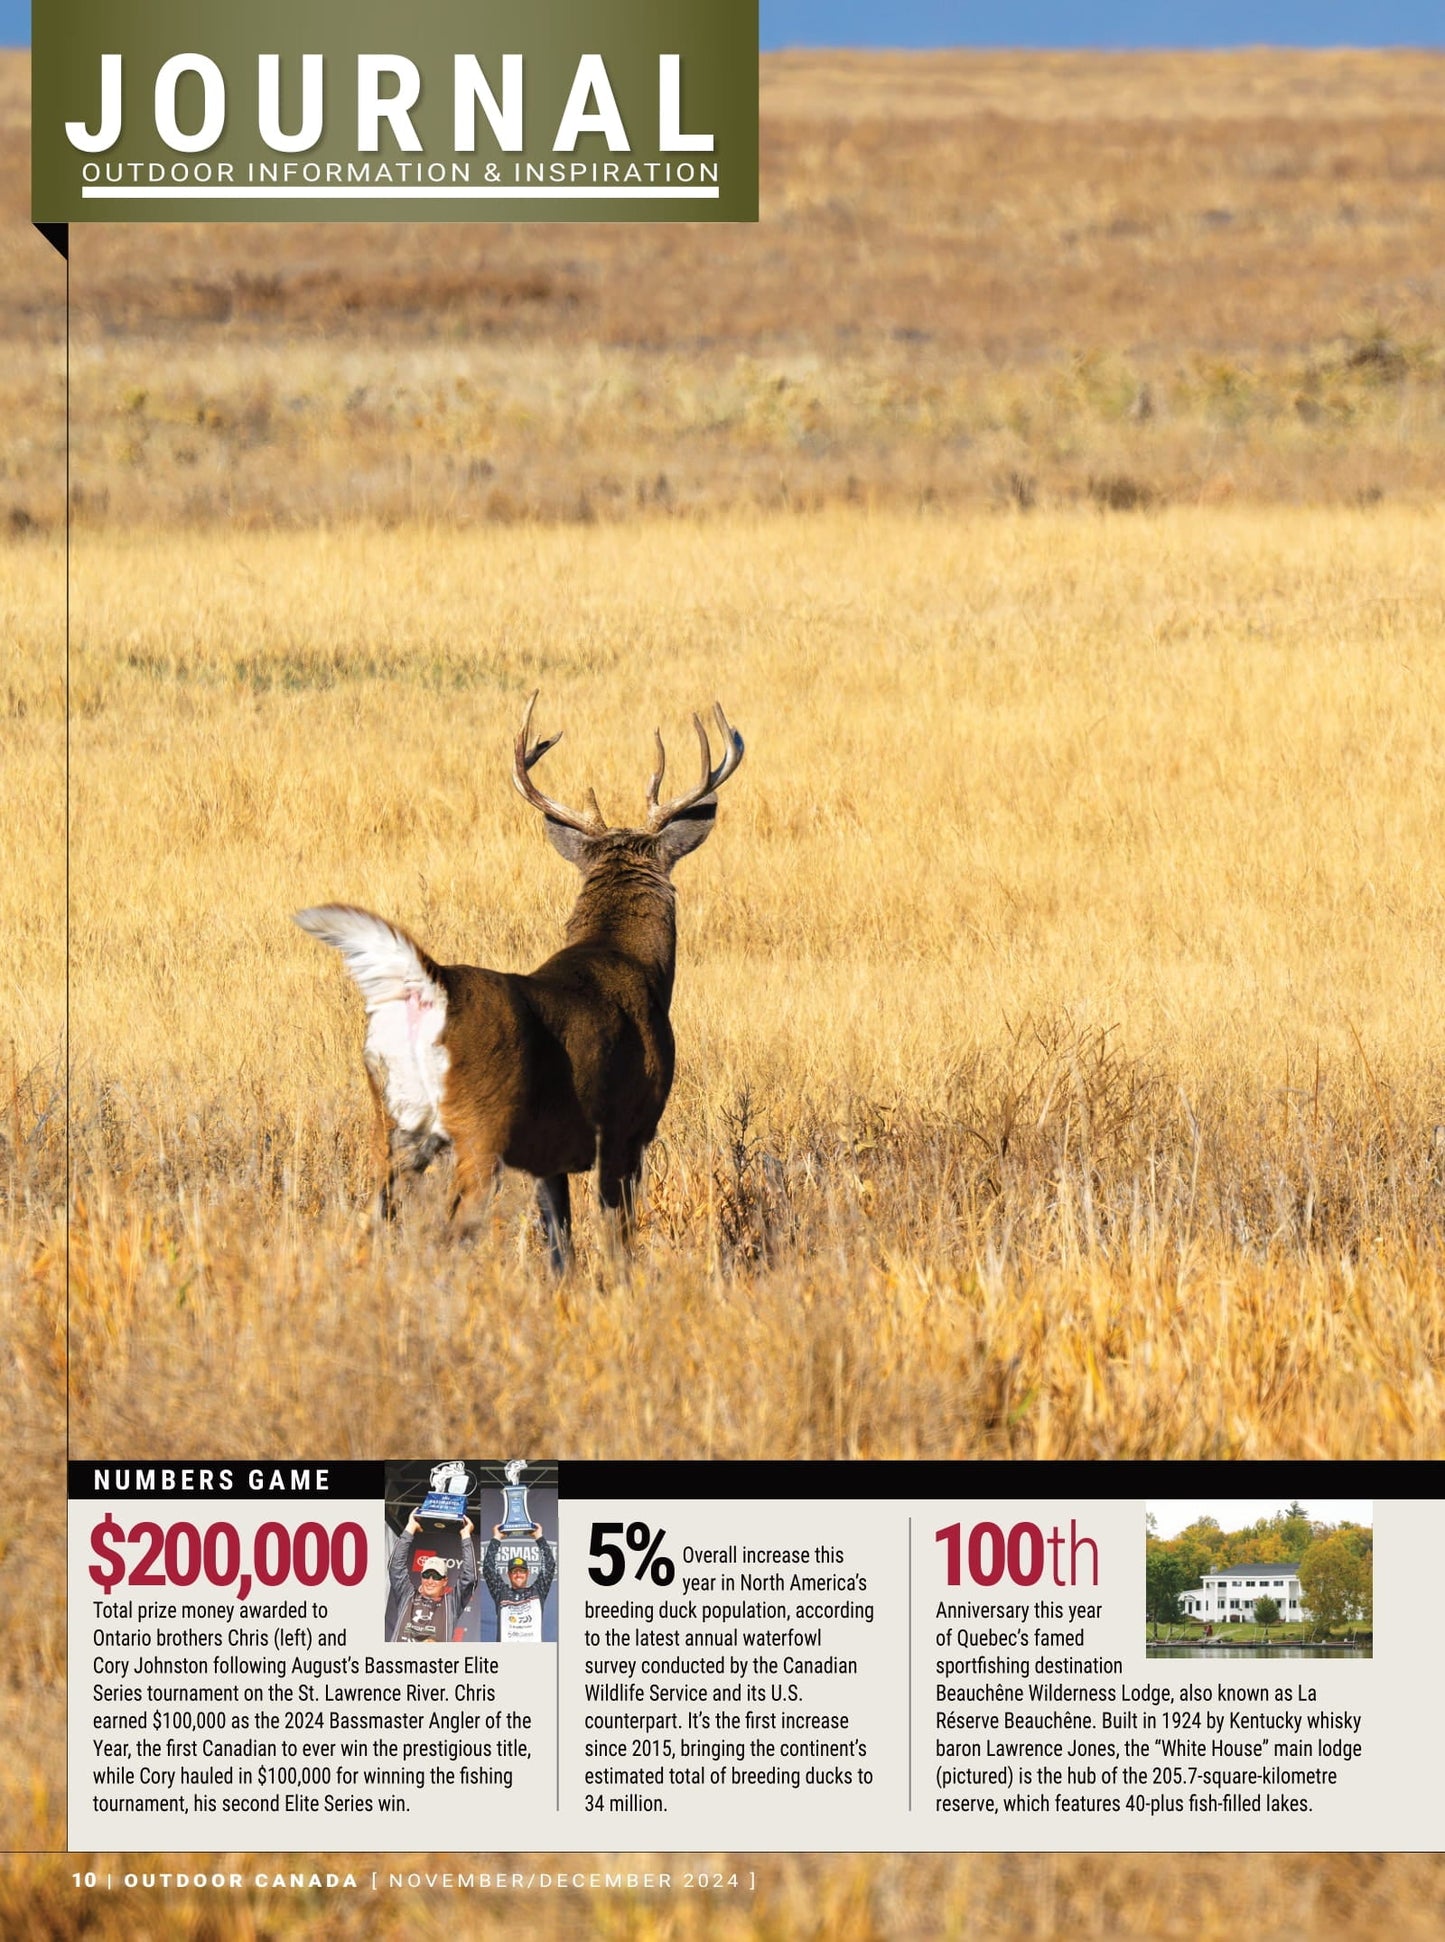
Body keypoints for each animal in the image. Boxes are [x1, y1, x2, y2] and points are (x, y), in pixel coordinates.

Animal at [294, 691, 744, 1271]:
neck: (632, 961)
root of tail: (427, 988)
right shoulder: (627, 1126)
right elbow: (617, 1240)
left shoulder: (550, 1156)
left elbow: (560, 1247)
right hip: (479, 1126)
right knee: (449, 1232)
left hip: (389, 1123)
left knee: (369, 1223)